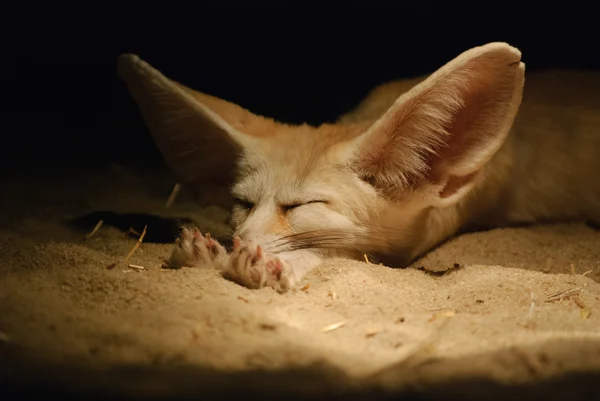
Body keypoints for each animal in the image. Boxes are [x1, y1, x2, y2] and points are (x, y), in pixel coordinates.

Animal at [118, 43, 600, 290]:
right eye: (243, 203)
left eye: (302, 206)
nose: (240, 242)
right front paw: (209, 253)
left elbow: (331, 252)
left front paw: (270, 265)